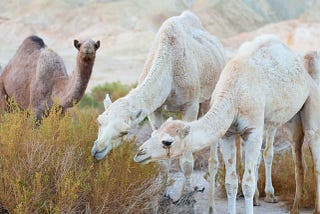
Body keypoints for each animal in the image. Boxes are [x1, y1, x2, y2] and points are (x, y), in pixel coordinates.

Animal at [90, 10, 226, 193]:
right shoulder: (155, 110)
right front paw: (162, 193)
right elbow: (161, 159)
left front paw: (186, 193)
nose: (97, 151)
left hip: (209, 96)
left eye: (125, 132)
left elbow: (186, 161)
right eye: (99, 121)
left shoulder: (190, 105)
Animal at [133, 35, 320, 214]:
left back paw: (314, 208)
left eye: (167, 142)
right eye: (153, 134)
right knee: (298, 159)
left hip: (311, 103)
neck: (233, 94)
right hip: (292, 121)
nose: (140, 153)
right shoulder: (228, 134)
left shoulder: (253, 131)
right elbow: (231, 182)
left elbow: (248, 183)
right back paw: (294, 208)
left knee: (314, 151)